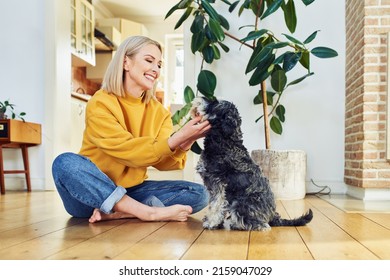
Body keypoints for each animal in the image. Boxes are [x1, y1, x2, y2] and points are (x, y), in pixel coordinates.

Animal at [191, 97, 314, 231]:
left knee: (261, 224)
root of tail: (273, 216)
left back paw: (238, 225)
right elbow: (214, 204)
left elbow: (216, 205)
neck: (225, 142)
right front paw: (215, 223)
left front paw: (211, 222)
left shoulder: (217, 183)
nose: (200, 98)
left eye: (215, 103)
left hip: (240, 204)